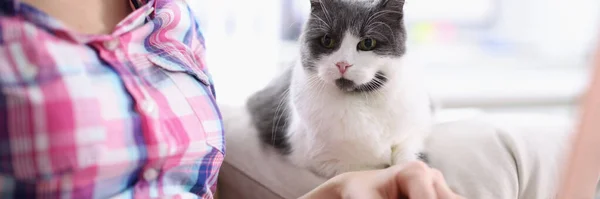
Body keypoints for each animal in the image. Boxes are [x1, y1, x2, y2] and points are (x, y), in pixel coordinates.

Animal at [246, 0, 434, 178]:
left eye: (368, 42)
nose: (342, 64)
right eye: (327, 40)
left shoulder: (413, 134)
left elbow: (408, 155)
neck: (362, 101)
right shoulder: (325, 161)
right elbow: (365, 170)